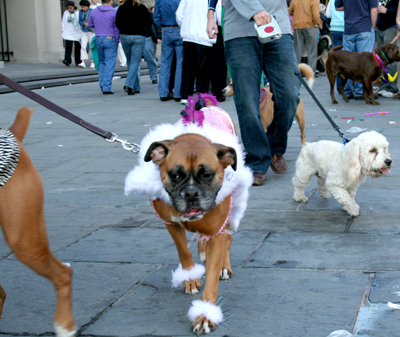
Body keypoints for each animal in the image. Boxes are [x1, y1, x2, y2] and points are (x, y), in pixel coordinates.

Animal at [125, 94, 252, 334]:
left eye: (207, 175)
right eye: (175, 175)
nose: (191, 193)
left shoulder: (216, 230)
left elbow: (212, 274)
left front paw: (205, 315)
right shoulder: (171, 224)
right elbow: (183, 251)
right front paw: (190, 278)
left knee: (227, 238)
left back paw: (224, 265)